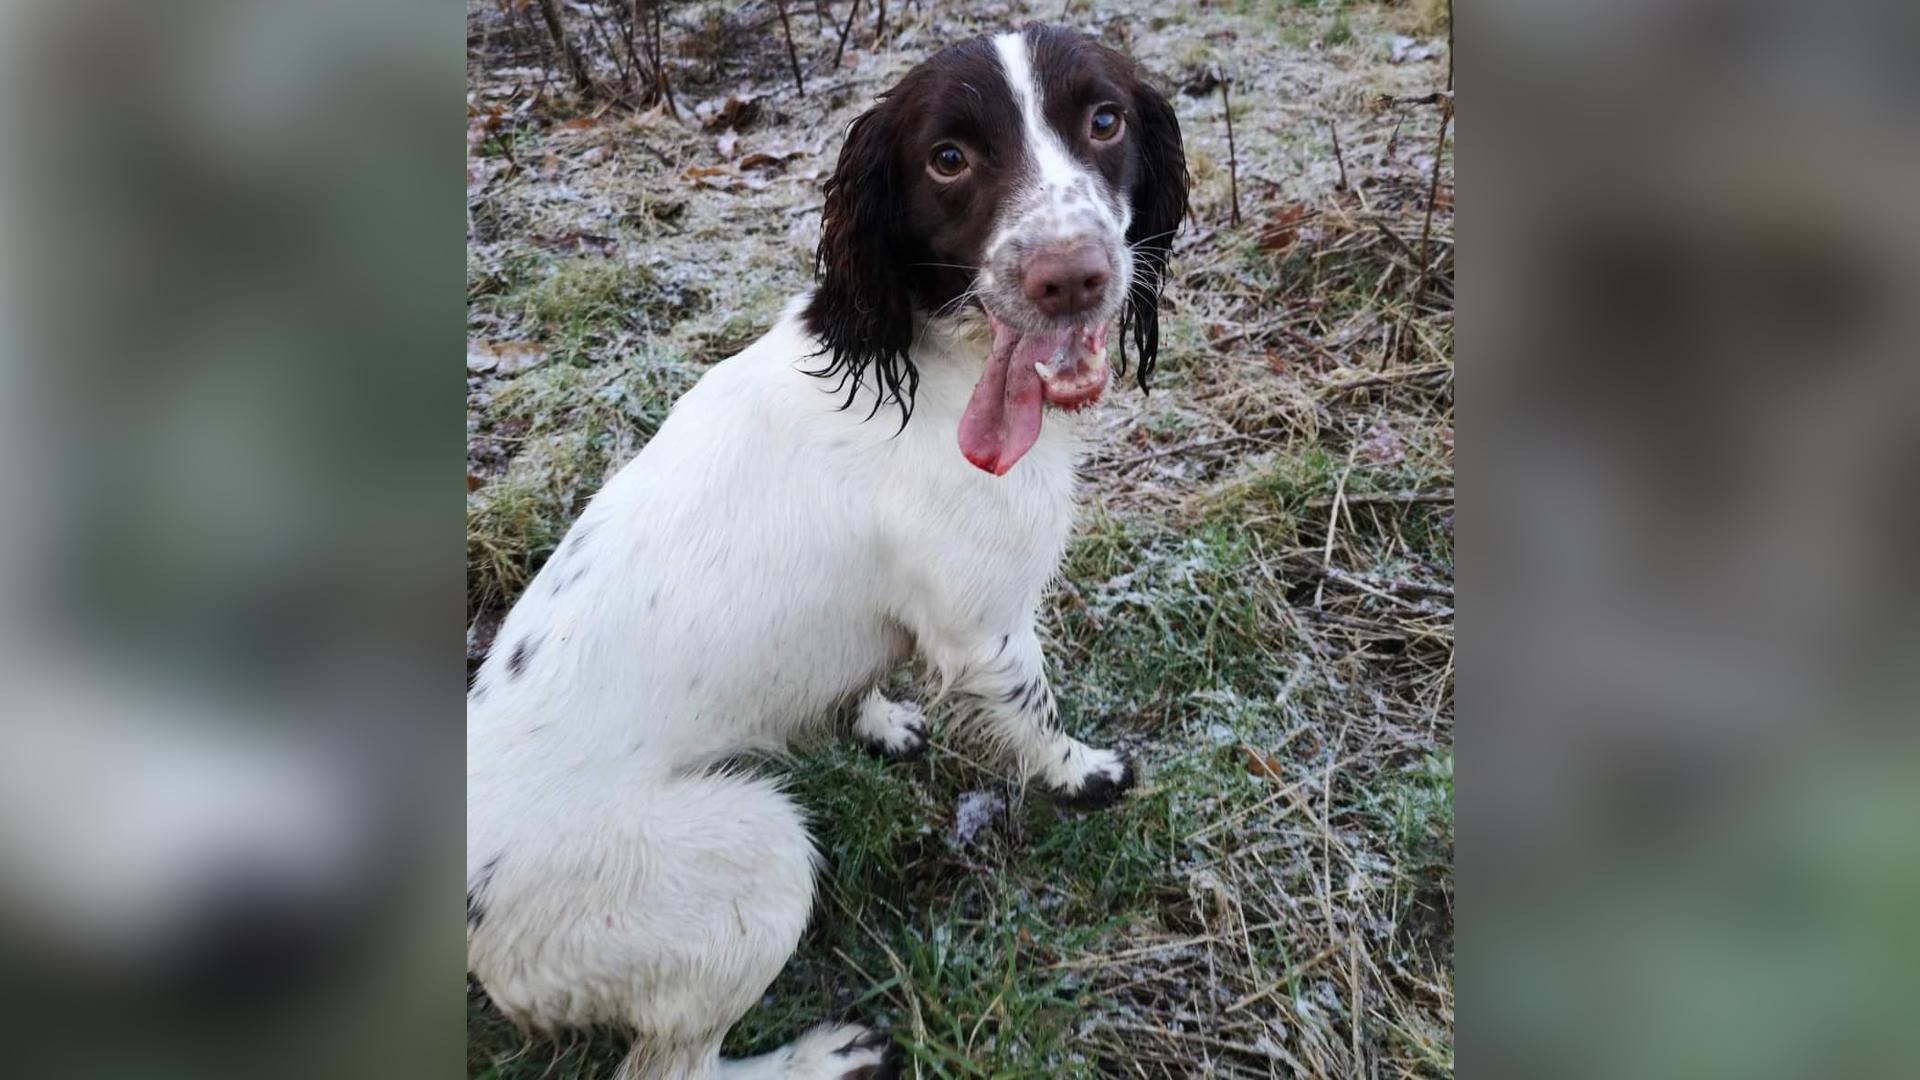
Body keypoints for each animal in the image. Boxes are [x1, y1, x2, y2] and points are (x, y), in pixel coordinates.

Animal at [466, 25, 1182, 1076]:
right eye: (948, 157)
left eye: (1103, 119)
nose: (1073, 276)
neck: (934, 357)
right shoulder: (986, 629)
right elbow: (1035, 714)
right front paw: (1082, 775)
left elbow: (861, 673)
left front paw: (877, 720)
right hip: (750, 855)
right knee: (671, 1065)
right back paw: (822, 1057)